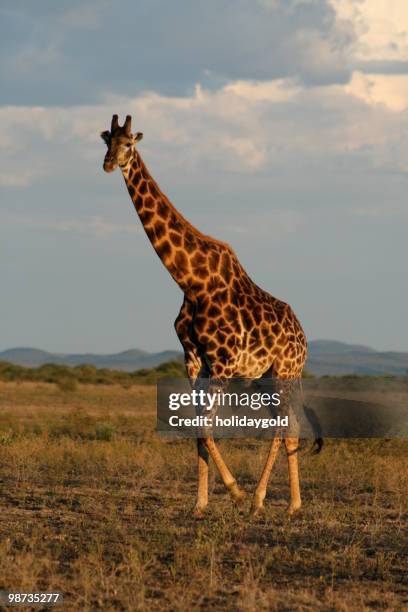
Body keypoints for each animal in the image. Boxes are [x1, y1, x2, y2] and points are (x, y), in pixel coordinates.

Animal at [102, 113, 310, 516]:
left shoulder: (223, 363)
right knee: (287, 426)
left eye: (129, 144)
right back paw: (293, 504)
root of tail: (304, 338)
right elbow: (198, 429)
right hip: (264, 378)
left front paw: (235, 491)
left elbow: (206, 427)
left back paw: (259, 498)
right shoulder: (195, 360)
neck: (192, 282)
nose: (107, 164)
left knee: (283, 427)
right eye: (106, 142)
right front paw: (200, 503)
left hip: (285, 372)